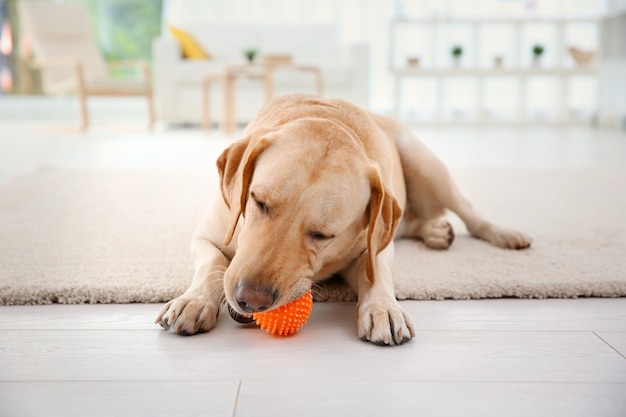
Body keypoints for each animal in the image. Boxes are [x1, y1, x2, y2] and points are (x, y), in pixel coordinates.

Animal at [154, 94, 528, 344]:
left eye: (322, 235)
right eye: (258, 202)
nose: (251, 300)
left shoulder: (373, 248)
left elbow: (377, 273)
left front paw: (383, 308)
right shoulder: (205, 236)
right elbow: (213, 263)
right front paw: (193, 301)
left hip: (425, 165)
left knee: (468, 212)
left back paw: (502, 234)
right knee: (408, 222)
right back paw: (435, 231)